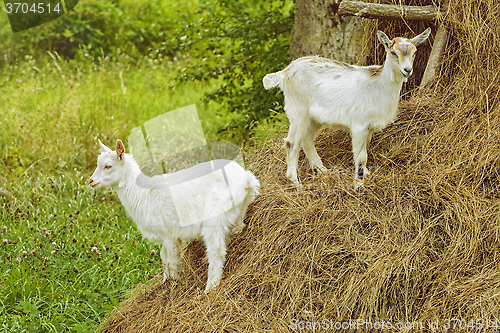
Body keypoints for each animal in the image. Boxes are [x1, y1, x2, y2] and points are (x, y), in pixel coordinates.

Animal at [89, 139, 260, 292]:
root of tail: (246, 181)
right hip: (236, 211)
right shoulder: (166, 235)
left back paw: (210, 287)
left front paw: (174, 283)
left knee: (216, 251)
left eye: (108, 166)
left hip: (215, 217)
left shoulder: (168, 233)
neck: (143, 192)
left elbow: (171, 259)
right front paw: (165, 281)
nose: (91, 181)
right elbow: (163, 256)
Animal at [264, 27, 432, 187]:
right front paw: (359, 185)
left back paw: (322, 169)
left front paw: (366, 174)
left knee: (306, 138)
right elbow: (361, 156)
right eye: (393, 52)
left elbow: (364, 151)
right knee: (291, 142)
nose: (407, 70)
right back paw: (296, 182)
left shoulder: (368, 129)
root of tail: (285, 72)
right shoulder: (359, 126)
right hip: (298, 110)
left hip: (313, 118)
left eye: (414, 52)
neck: (378, 86)